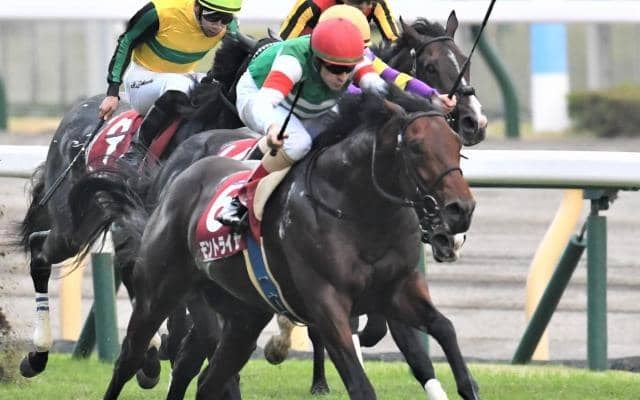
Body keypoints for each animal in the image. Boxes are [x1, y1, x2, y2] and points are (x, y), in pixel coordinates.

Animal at [72, 84, 478, 399]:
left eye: (455, 143)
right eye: (415, 147)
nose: (461, 210)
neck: (358, 210)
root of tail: (174, 180)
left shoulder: (395, 289)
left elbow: (444, 329)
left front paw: (466, 384)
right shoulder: (326, 302)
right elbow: (360, 384)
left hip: (243, 317)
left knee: (208, 380)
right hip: (159, 293)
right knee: (130, 359)